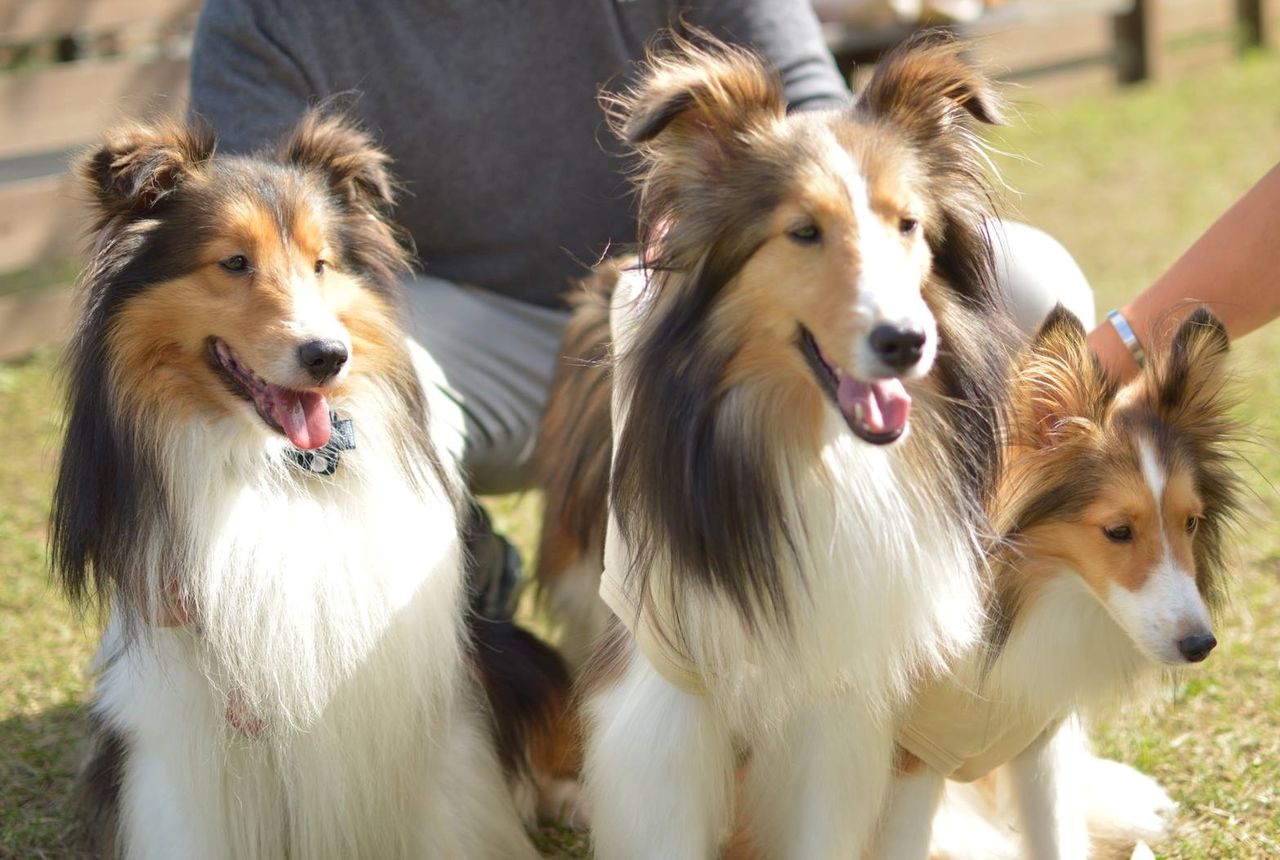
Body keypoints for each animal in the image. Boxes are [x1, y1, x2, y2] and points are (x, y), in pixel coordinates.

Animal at [529, 30, 1018, 854]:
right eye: (803, 231)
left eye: (908, 225)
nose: (907, 342)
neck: (808, 449)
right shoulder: (659, 685)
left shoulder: (834, 673)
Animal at [880, 305, 1239, 854]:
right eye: (1118, 530)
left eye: (1191, 522)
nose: (1200, 645)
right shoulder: (912, 763)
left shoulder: (1037, 744)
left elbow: (1053, 837)